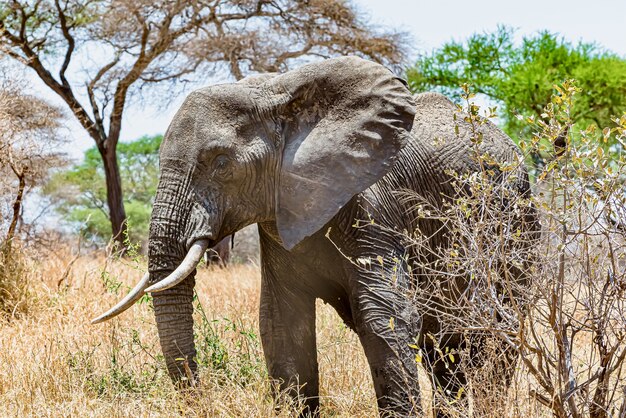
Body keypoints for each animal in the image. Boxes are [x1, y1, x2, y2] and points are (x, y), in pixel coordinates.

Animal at [92, 57, 536, 416]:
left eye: (220, 163)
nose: (201, 400)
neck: (277, 92)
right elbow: (281, 322)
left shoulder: (375, 206)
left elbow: (383, 316)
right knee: (443, 347)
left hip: (515, 218)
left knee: (493, 333)